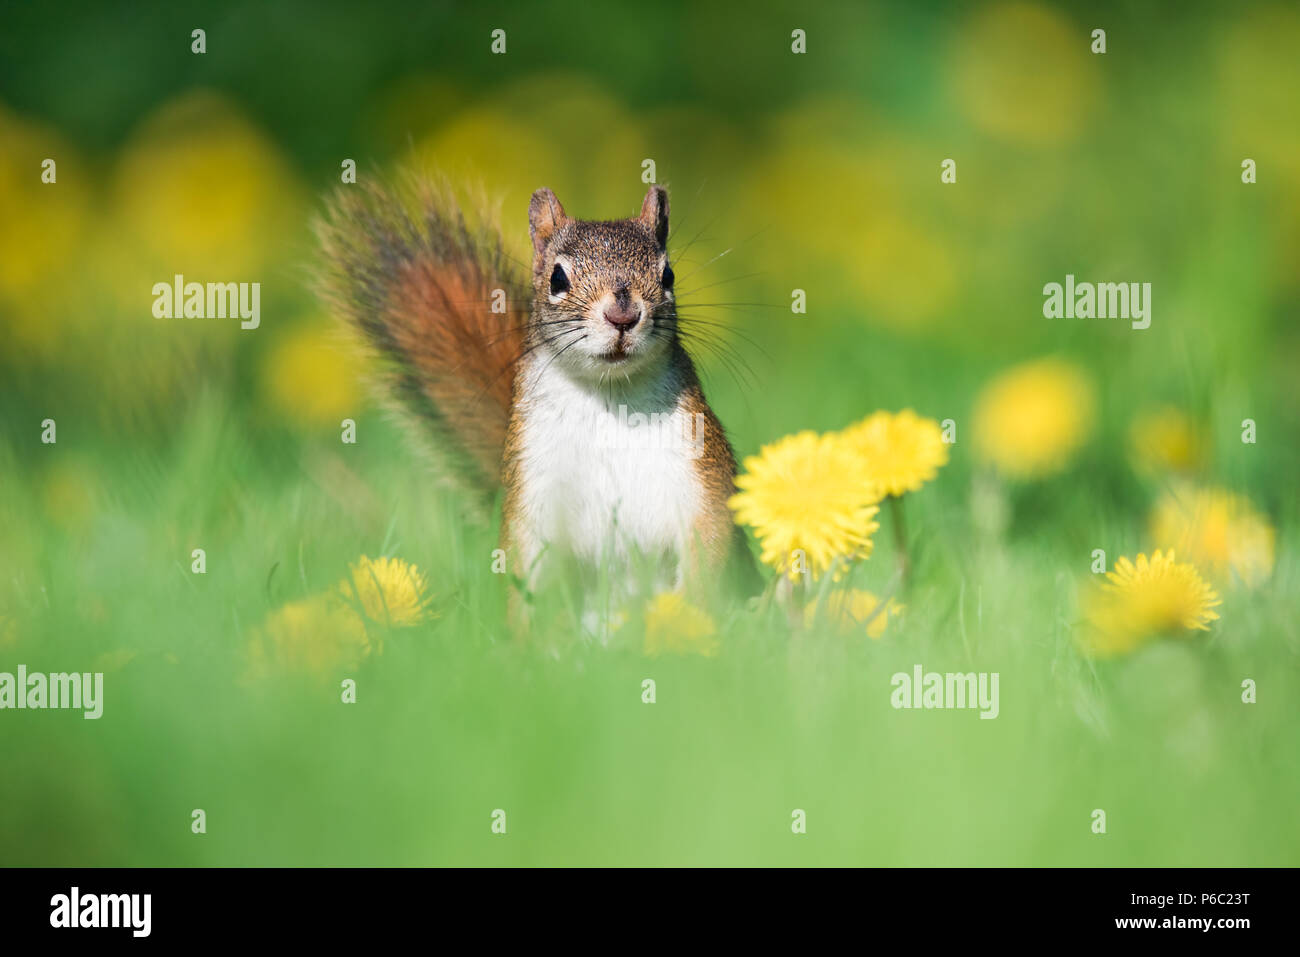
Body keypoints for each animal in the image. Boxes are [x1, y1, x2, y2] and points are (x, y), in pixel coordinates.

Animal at [318, 178, 759, 613]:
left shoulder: (701, 478)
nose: (623, 315)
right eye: (557, 279)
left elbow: (709, 553)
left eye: (668, 276)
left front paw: (689, 620)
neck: (610, 395)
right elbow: (527, 573)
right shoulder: (533, 493)